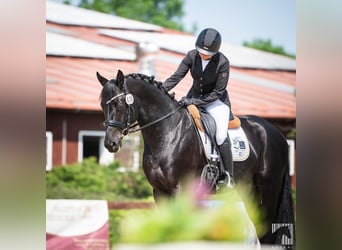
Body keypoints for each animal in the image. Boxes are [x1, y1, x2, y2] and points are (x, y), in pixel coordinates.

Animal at [95, 69, 294, 245]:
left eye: (119, 105)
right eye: (102, 105)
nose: (110, 143)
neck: (168, 130)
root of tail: (276, 132)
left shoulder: (181, 189)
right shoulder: (160, 191)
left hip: (268, 190)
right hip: (248, 190)